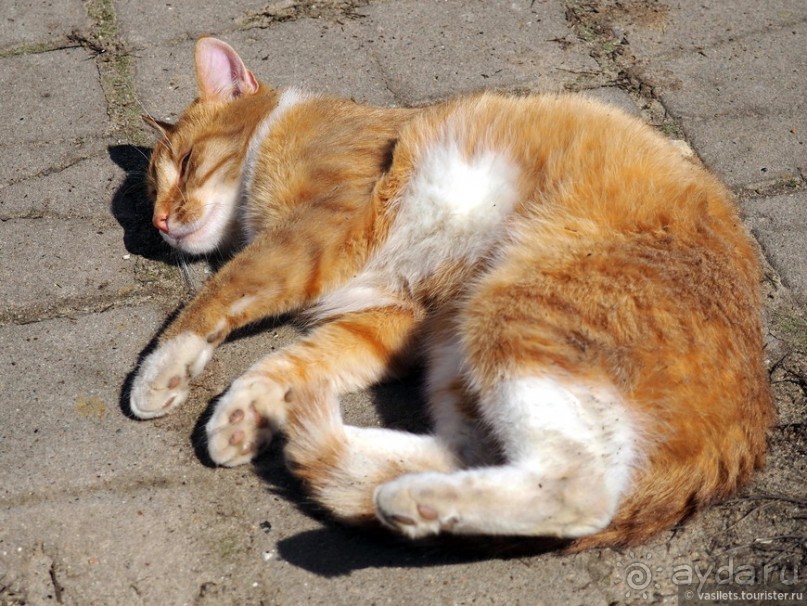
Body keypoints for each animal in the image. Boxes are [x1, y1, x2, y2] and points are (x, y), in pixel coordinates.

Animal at [128, 36, 776, 552]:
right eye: (152, 192)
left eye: (186, 162)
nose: (158, 222)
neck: (281, 133)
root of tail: (746, 427)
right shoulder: (384, 323)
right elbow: (288, 363)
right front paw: (246, 414)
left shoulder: (311, 234)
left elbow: (217, 296)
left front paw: (158, 374)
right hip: (454, 348)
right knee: (481, 454)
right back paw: (383, 477)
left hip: (514, 311)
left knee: (581, 489)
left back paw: (413, 499)